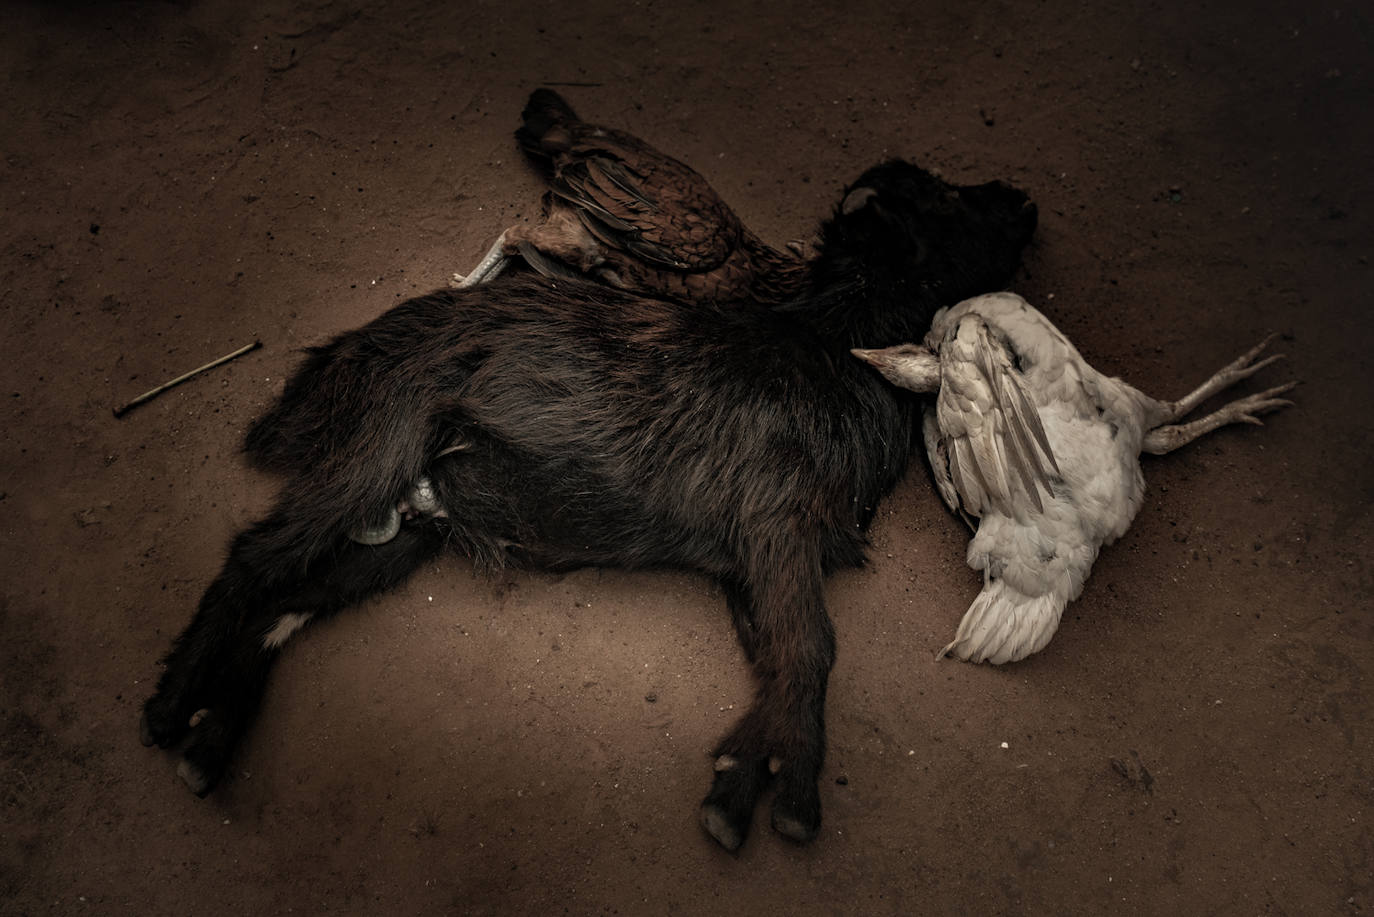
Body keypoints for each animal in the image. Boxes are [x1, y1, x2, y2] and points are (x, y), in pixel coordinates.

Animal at [142, 159, 1038, 852]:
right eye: (950, 201)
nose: (1023, 198)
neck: (833, 343)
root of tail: (350, 350)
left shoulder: (752, 561)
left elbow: (779, 656)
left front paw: (738, 779)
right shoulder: (776, 525)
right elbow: (814, 650)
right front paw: (787, 803)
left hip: (404, 530)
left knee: (284, 601)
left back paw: (209, 741)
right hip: (374, 449)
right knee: (253, 559)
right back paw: (168, 706)